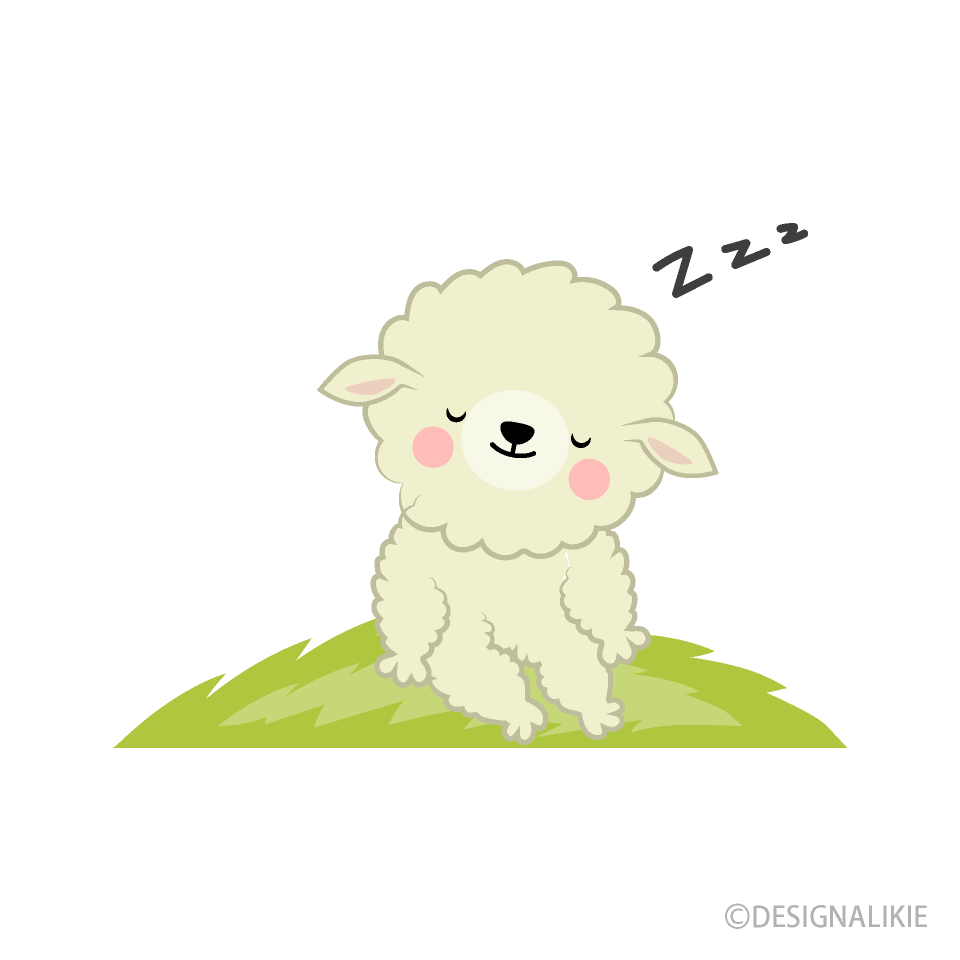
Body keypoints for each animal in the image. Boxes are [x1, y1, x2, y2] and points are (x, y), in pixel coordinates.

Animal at [320, 260, 716, 743]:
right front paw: (411, 663)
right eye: (454, 414)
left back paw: (596, 714)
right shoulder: (422, 554)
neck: (507, 518)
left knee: (573, 663)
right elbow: (414, 598)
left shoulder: (584, 555)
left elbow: (597, 592)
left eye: (582, 440)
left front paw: (619, 640)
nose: (516, 429)